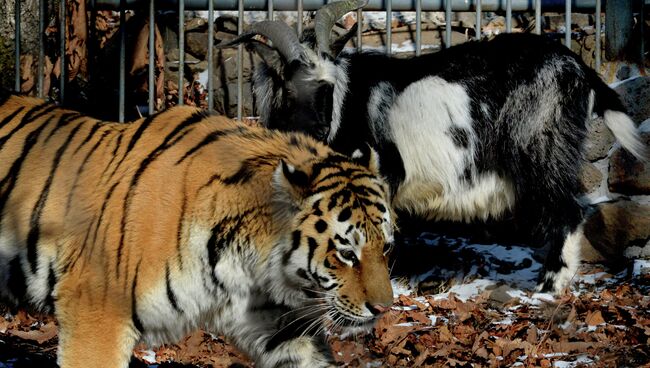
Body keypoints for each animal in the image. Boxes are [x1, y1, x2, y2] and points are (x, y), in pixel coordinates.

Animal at [0, 89, 394, 368]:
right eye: (346, 253)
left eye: (386, 248)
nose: (384, 309)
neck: (247, 264)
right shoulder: (95, 309)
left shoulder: (275, 322)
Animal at [220, 0, 644, 294]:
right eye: (293, 85)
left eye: (326, 86)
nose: (324, 128)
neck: (346, 103)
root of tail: (578, 67)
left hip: (542, 148)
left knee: (568, 210)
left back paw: (549, 287)